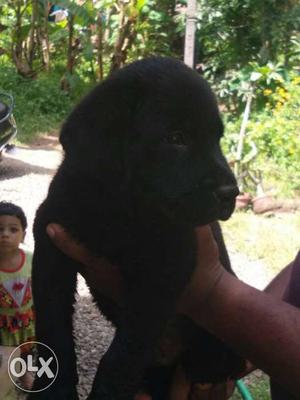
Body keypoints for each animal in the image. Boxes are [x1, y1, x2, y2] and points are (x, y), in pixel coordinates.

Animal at [29, 57, 241, 400]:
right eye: (176, 138)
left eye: (217, 139)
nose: (231, 193)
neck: (121, 211)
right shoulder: (50, 243)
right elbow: (53, 330)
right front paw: (54, 391)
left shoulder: (163, 272)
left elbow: (123, 355)